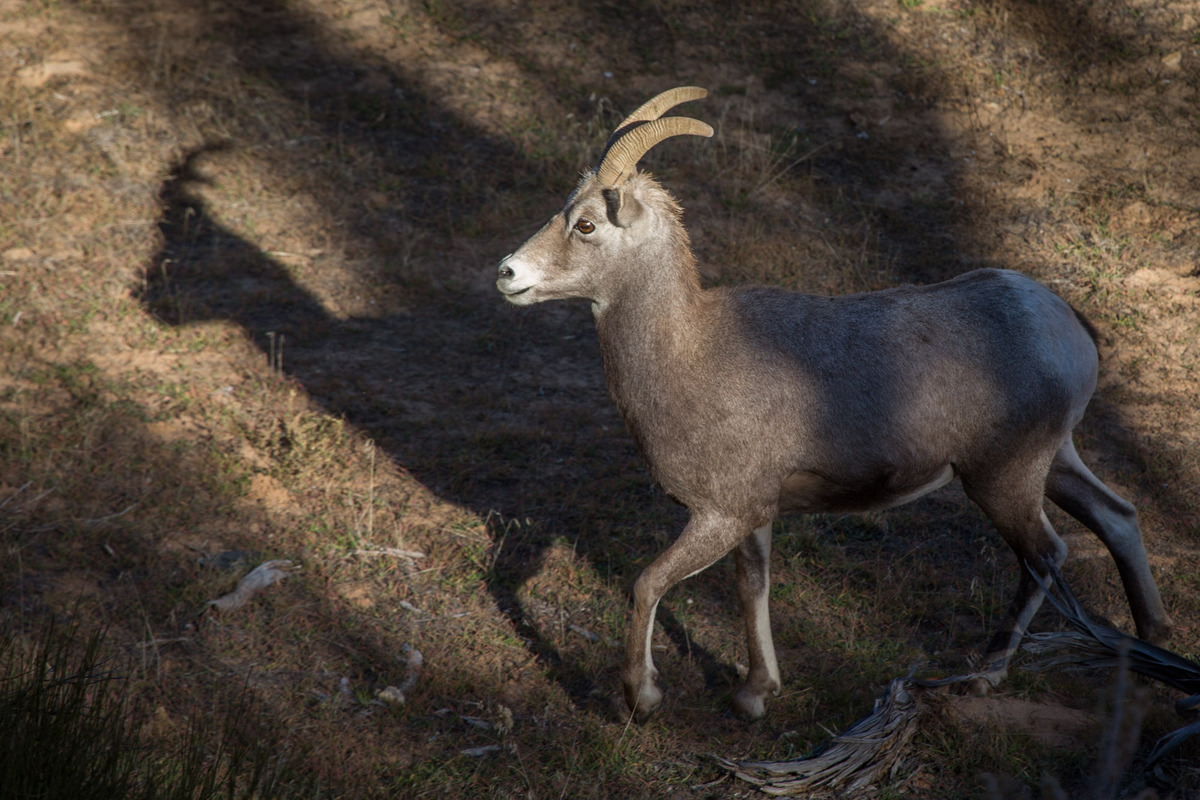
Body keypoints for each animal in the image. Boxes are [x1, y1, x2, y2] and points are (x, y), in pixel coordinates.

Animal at [495, 87, 1171, 722]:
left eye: (586, 225)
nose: (507, 273)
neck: (689, 352)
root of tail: (1069, 327)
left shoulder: (720, 515)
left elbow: (646, 584)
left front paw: (643, 698)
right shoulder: (754, 516)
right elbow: (752, 587)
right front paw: (755, 694)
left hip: (1003, 480)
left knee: (1045, 555)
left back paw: (986, 674)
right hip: (1053, 463)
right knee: (1118, 516)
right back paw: (1153, 644)